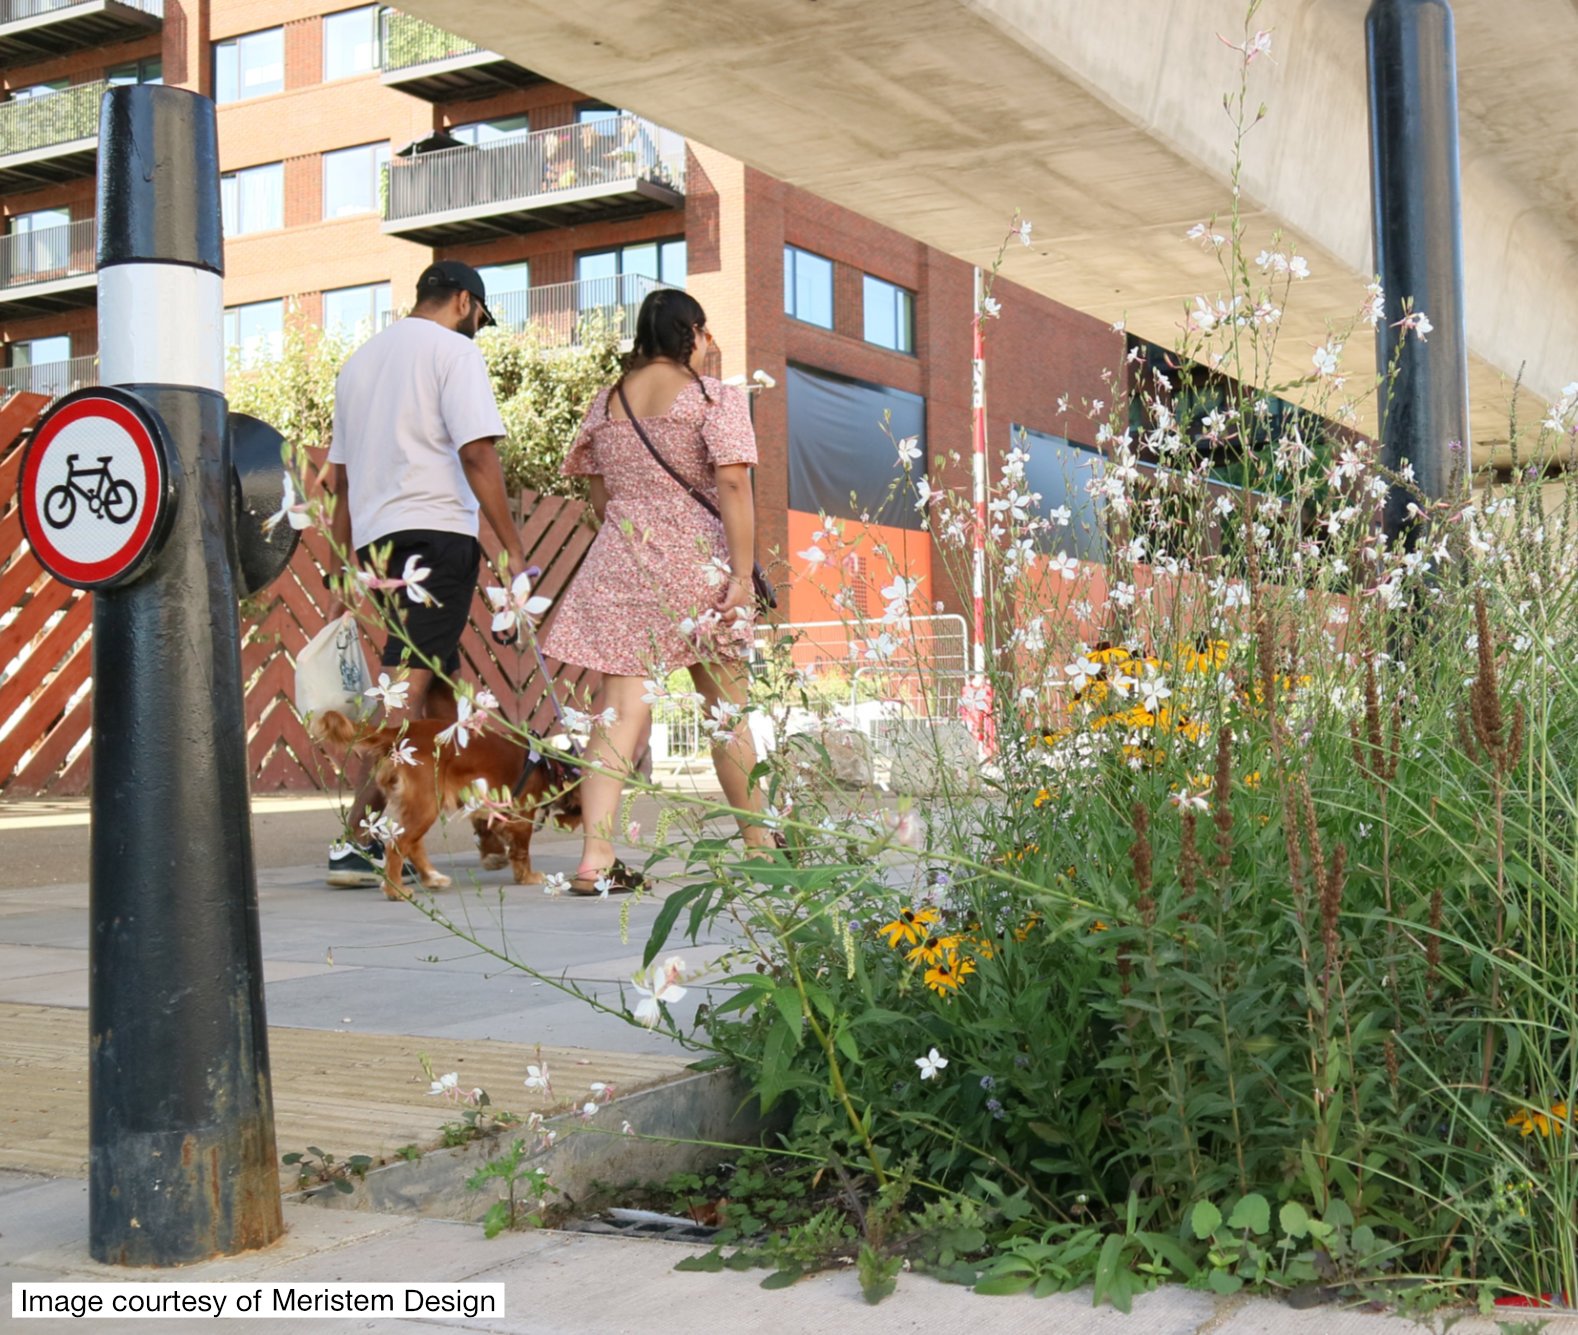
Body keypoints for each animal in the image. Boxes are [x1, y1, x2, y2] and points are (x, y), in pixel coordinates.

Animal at [314, 706, 580, 902]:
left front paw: (493, 856)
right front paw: (527, 876)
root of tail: (399, 733)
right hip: (427, 805)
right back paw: (396, 890)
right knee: (398, 845)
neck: (548, 765)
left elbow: (486, 831)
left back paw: (431, 878)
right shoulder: (519, 816)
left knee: (412, 844)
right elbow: (521, 850)